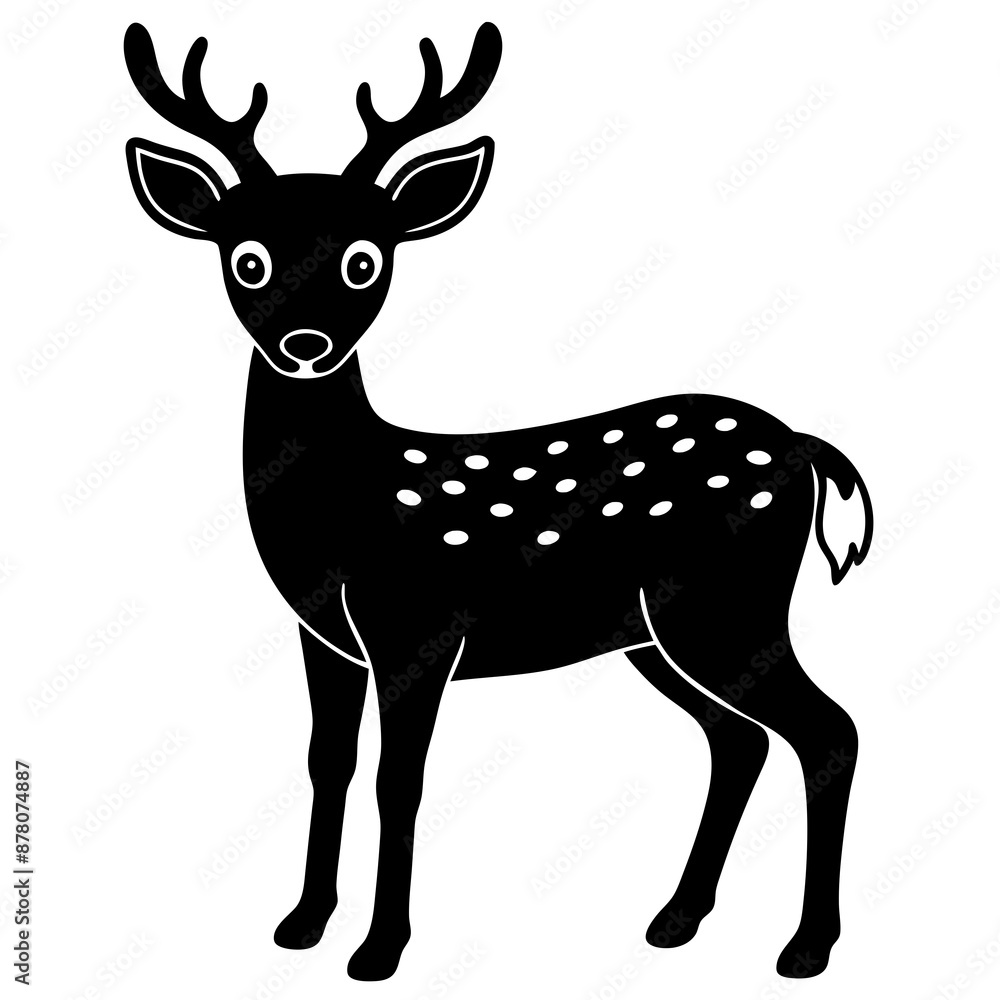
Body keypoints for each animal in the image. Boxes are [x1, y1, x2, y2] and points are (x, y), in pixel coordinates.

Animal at [123, 20, 874, 982]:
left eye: (365, 260)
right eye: (245, 259)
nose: (306, 342)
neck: (342, 509)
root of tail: (805, 447)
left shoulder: (417, 626)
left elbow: (398, 781)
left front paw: (378, 951)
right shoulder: (322, 634)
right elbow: (328, 761)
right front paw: (301, 924)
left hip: (727, 605)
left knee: (829, 731)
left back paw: (805, 948)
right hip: (661, 633)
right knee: (739, 738)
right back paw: (676, 919)